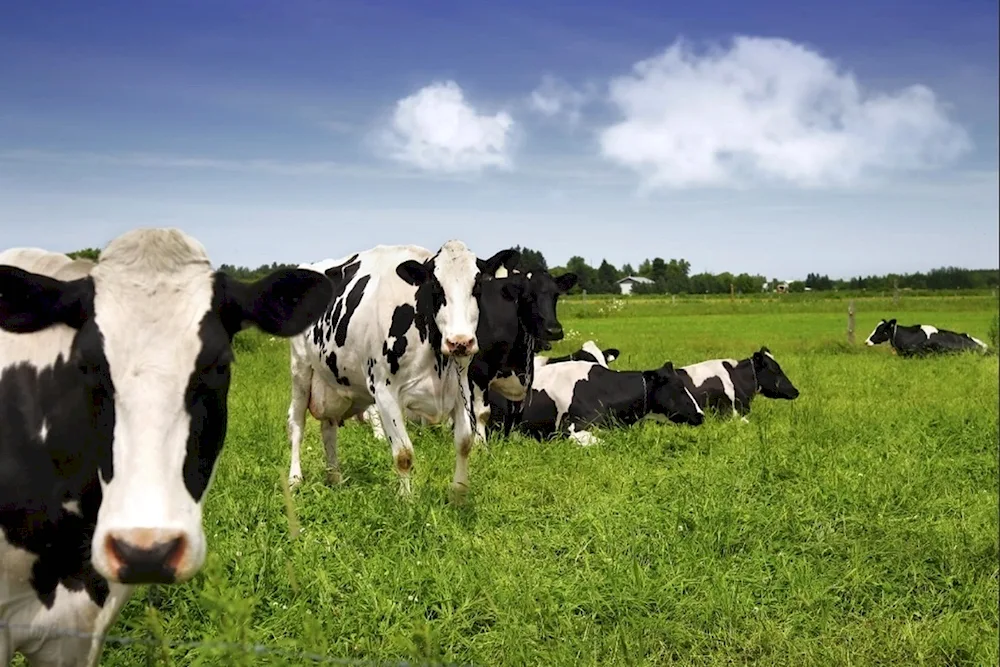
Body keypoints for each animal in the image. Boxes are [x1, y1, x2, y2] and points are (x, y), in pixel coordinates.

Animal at [282, 240, 516, 496]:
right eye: (436, 286)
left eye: (478, 285)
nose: (460, 342)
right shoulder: (384, 392)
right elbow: (403, 454)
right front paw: (406, 499)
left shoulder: (460, 386)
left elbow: (464, 442)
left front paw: (458, 492)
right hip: (300, 370)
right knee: (296, 423)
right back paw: (295, 479)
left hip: (333, 382)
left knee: (328, 426)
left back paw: (335, 477)